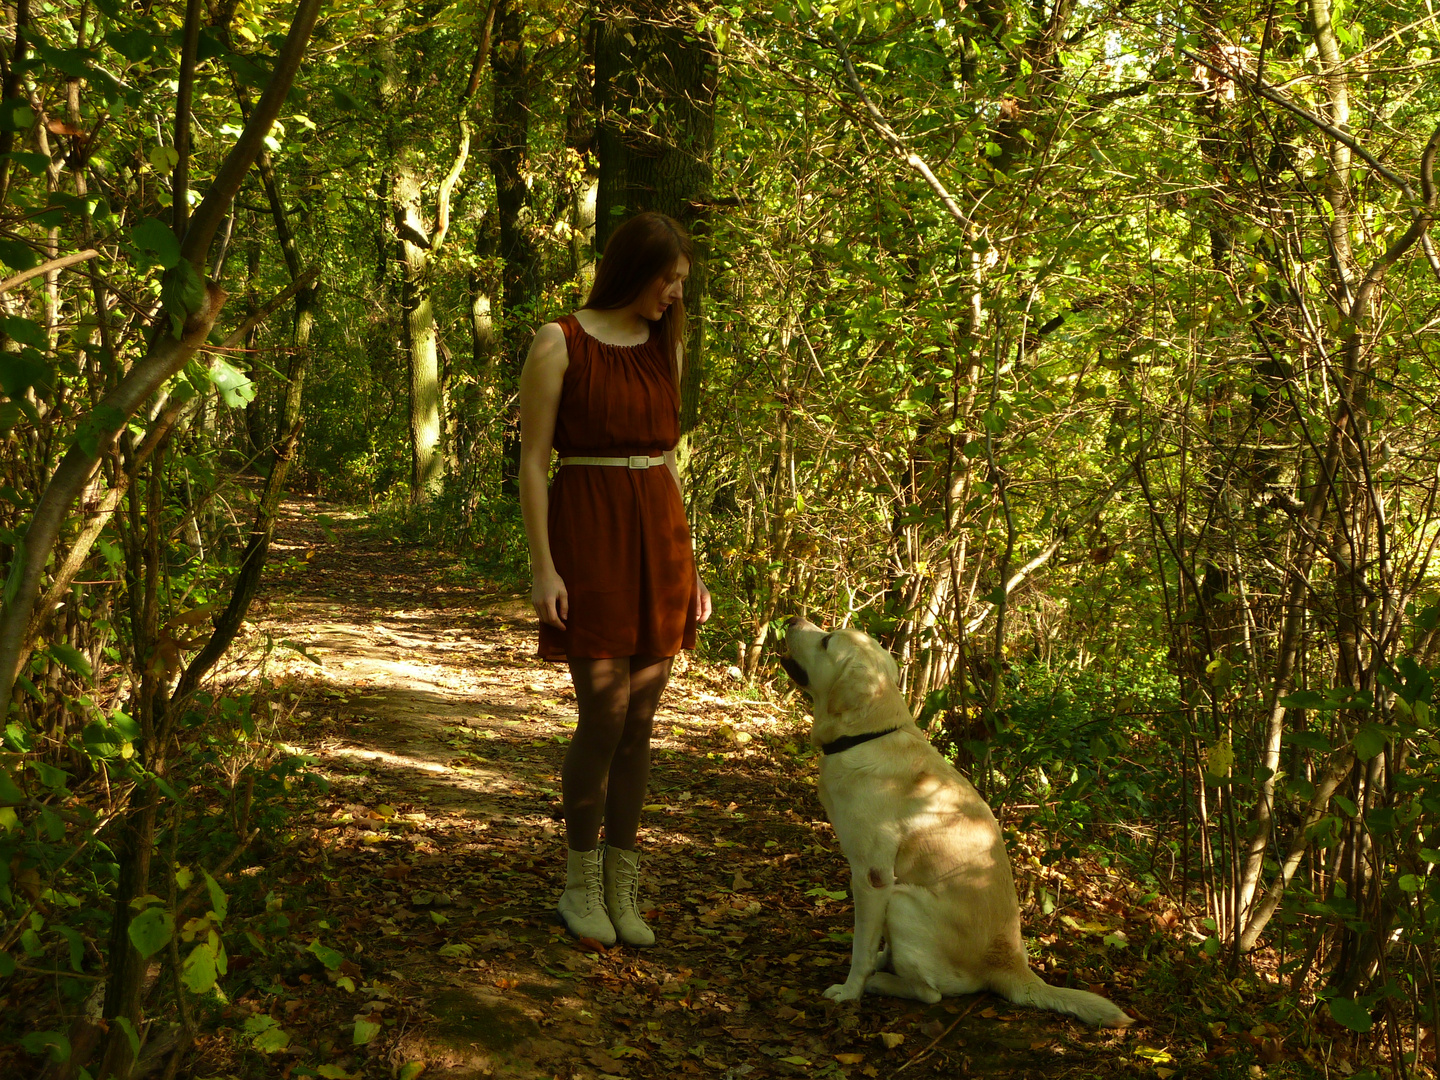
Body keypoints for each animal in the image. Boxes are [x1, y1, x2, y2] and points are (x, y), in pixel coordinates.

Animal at [783, 616, 1128, 1031]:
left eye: (827, 641)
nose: (791, 619)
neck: (866, 736)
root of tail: (1012, 967)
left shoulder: (872, 877)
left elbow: (860, 949)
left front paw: (851, 990)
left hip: (901, 898)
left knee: (929, 992)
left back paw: (882, 981)